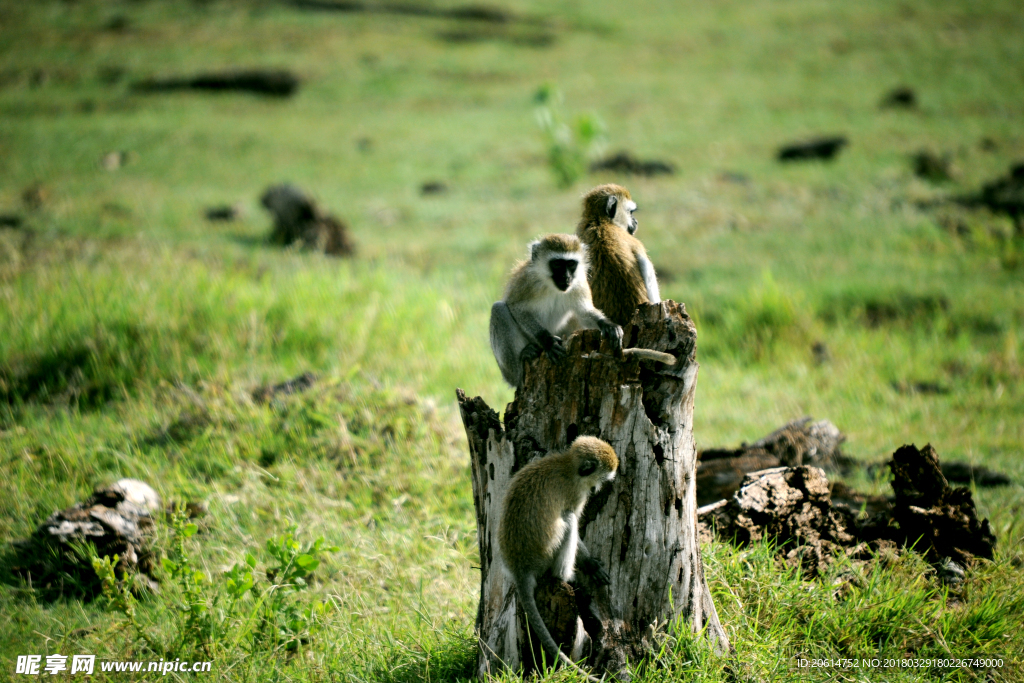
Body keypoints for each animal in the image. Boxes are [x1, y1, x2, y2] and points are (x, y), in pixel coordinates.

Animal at [499, 436, 618, 679]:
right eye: (602, 478)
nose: (597, 488)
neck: (567, 465)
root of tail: (520, 567)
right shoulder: (577, 493)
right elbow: (574, 517)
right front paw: (590, 564)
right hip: (544, 556)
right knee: (569, 519)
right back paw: (564, 576)